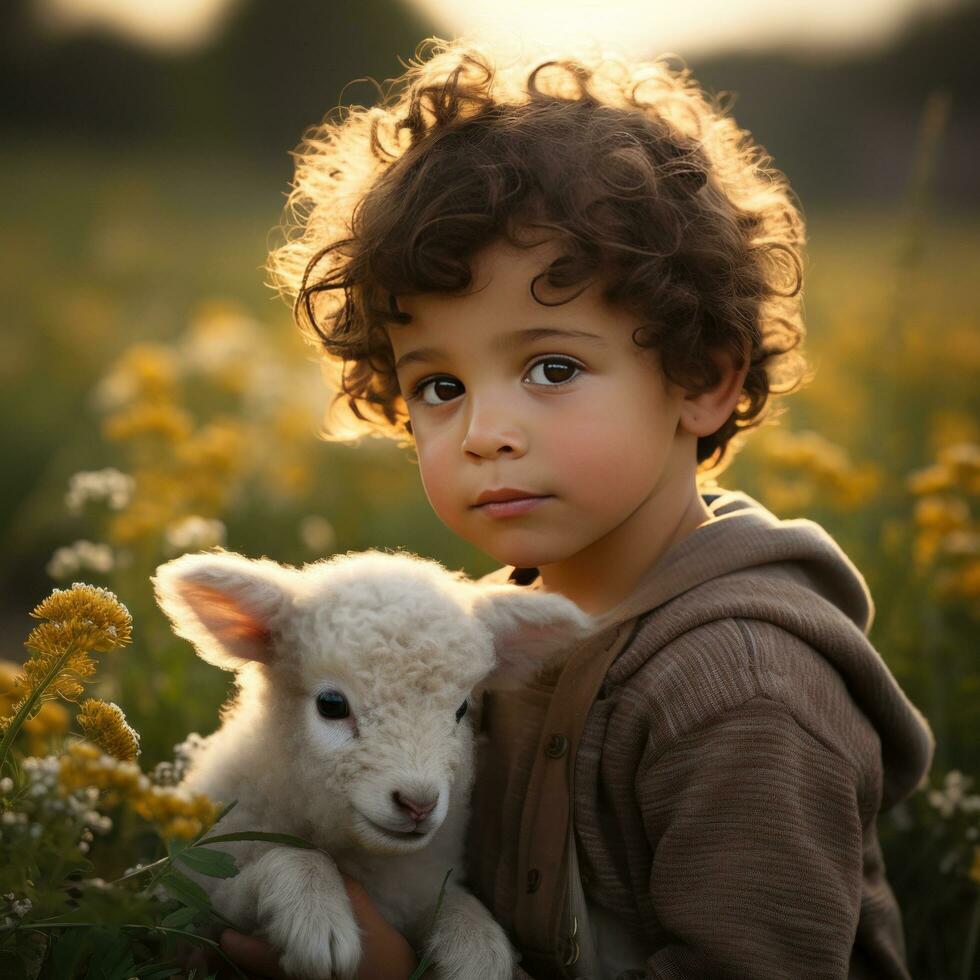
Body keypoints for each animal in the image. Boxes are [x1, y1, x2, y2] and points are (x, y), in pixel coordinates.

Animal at [152, 548, 592, 980]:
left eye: (462, 709)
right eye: (331, 704)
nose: (418, 804)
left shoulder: (419, 890)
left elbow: (459, 904)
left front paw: (478, 952)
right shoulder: (200, 905)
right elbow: (293, 859)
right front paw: (316, 917)